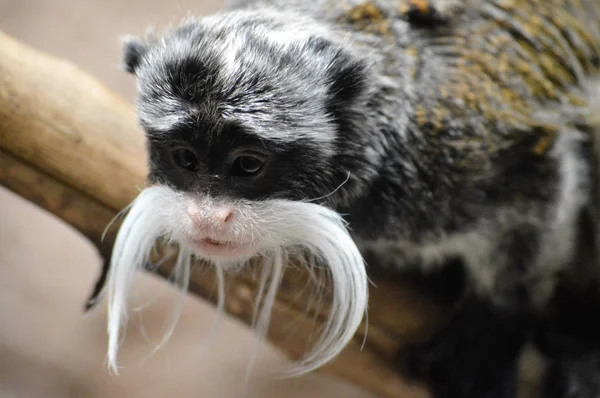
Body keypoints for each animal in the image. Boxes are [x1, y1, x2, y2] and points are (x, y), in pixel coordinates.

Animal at [89, 0, 600, 396]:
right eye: (185, 158)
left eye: (248, 165)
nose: (207, 217)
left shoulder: (466, 149)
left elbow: (543, 195)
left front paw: (489, 335)